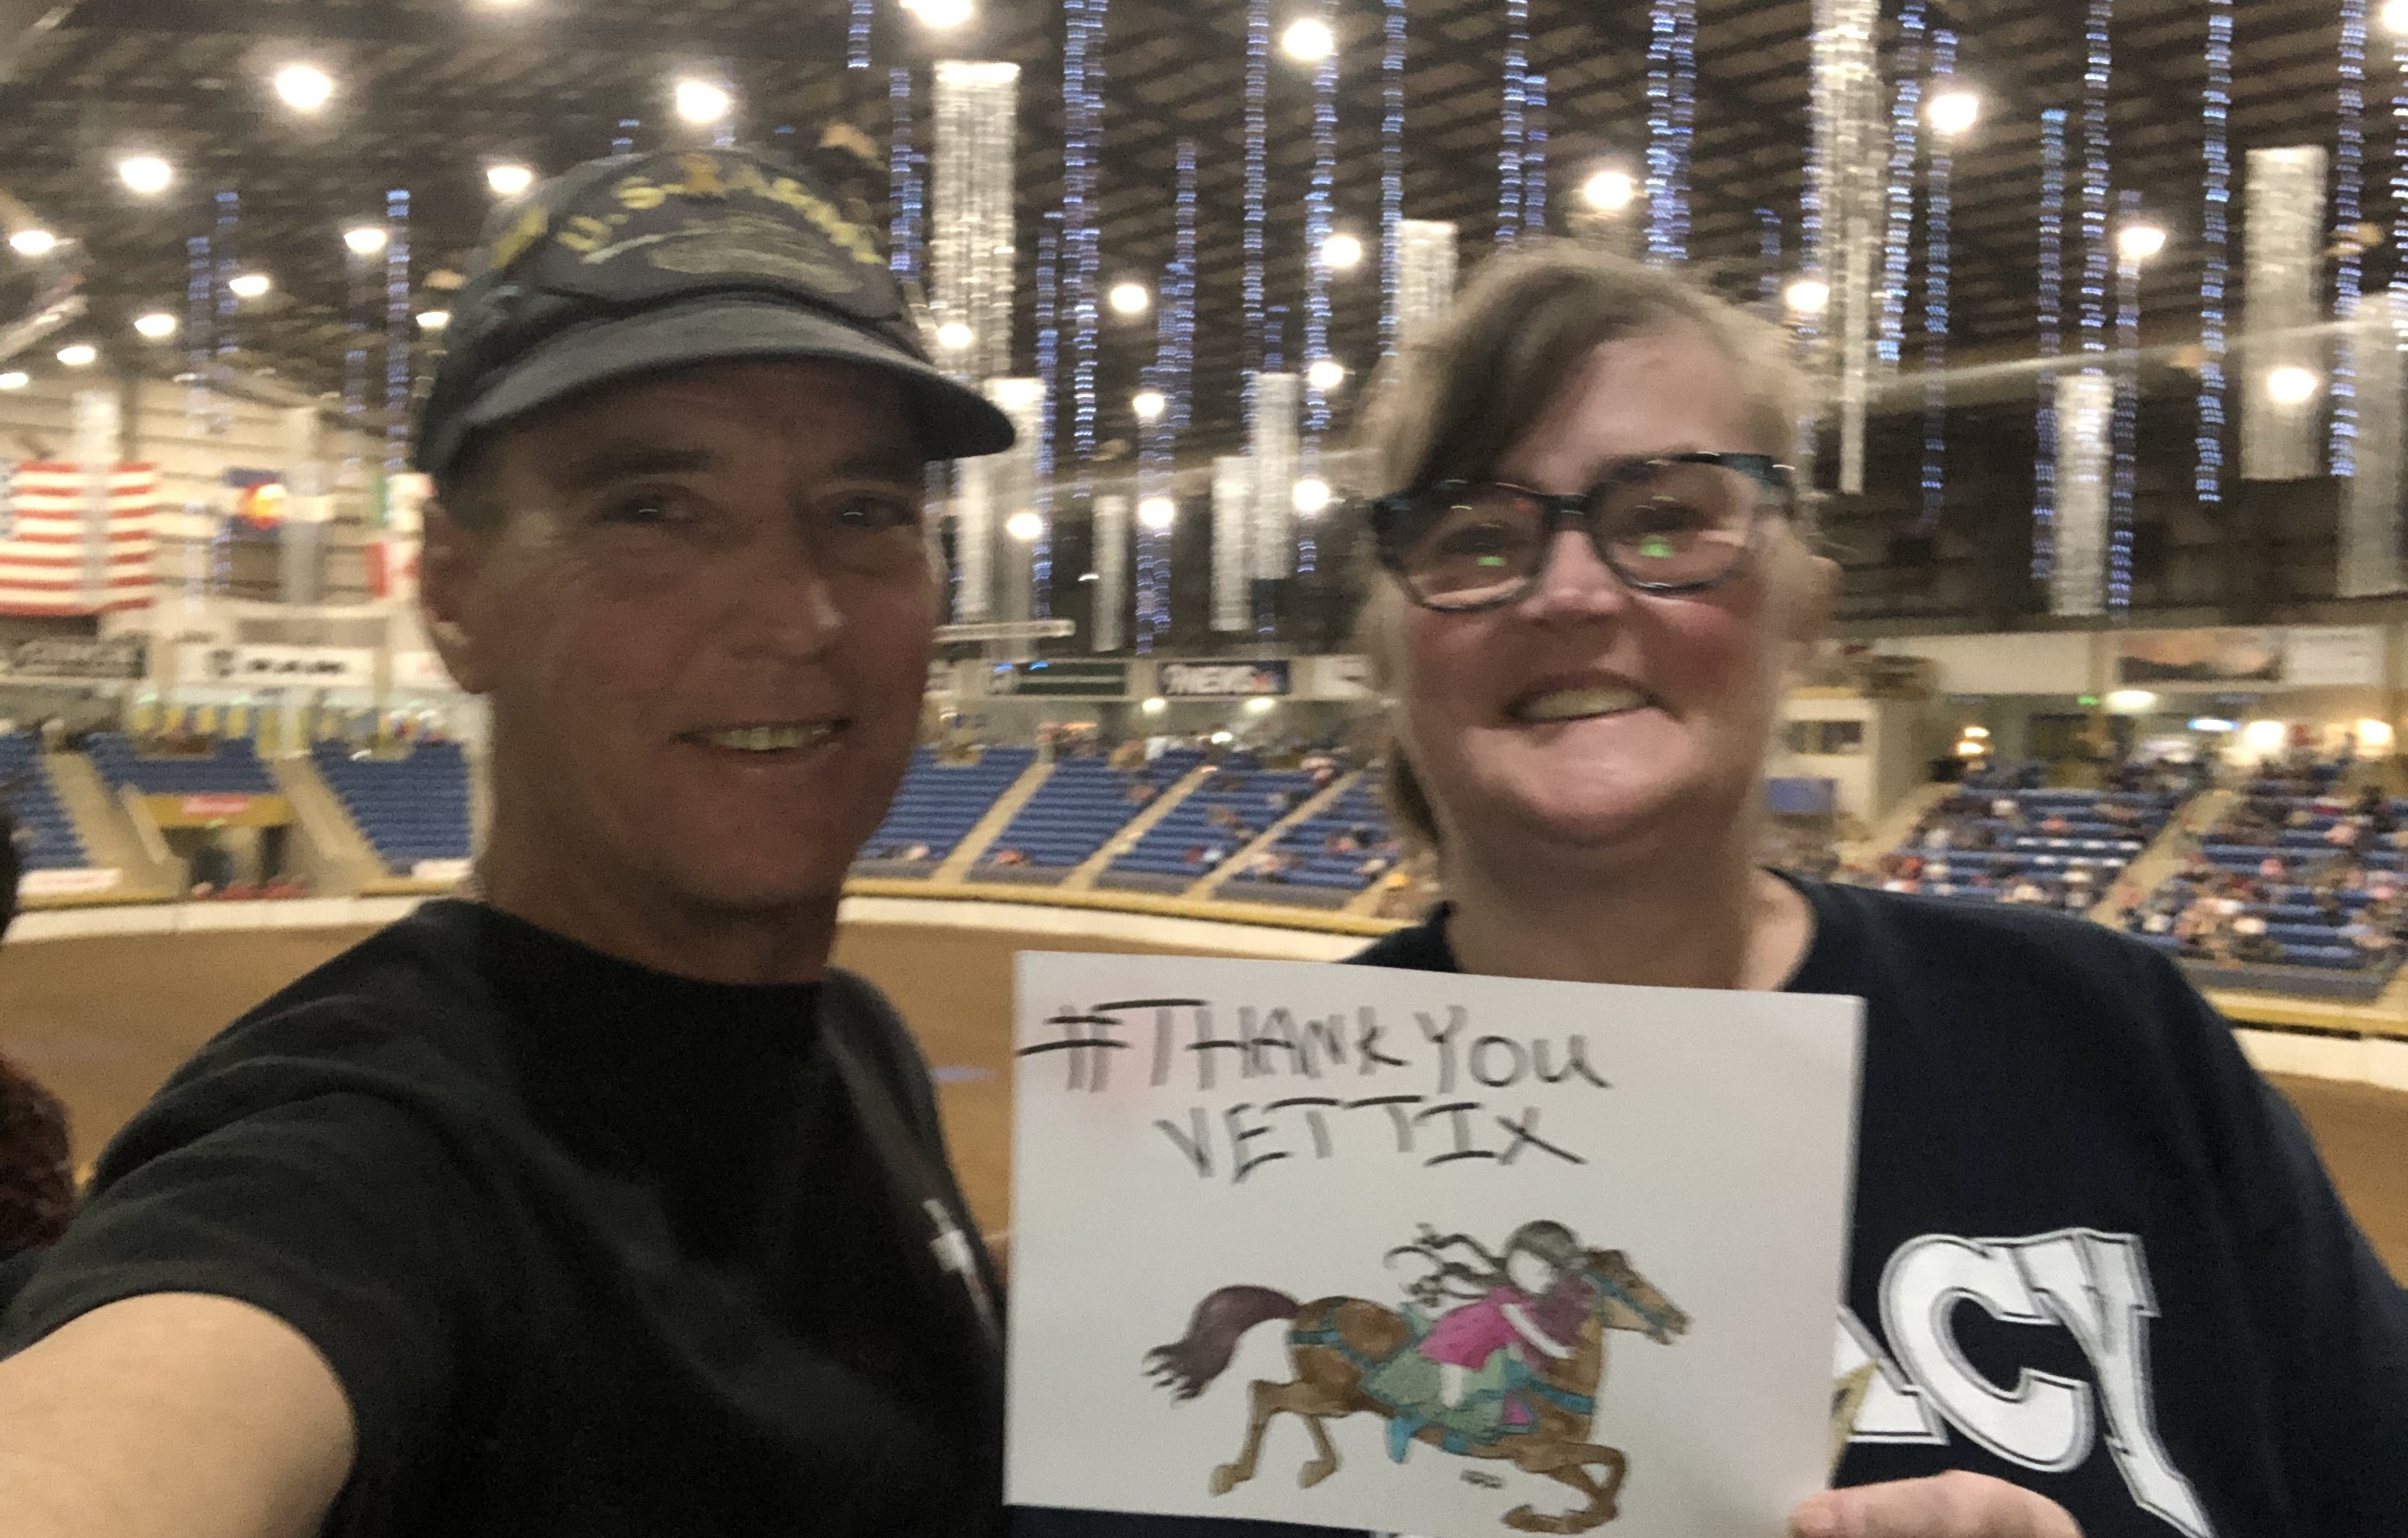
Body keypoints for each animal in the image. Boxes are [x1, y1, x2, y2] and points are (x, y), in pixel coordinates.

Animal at [1144, 1247, 1689, 1535]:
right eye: (1630, 1283)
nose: (1680, 1320)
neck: (1553, 1376)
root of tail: (1304, 1311)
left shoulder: (1552, 1461)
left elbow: (1609, 1483)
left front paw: (1555, 1515)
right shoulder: (1541, 1456)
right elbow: (1616, 1465)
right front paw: (1545, 1517)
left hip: (1334, 1396)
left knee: (1283, 1399)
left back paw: (1319, 1466)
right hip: (1335, 1396)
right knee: (1265, 1394)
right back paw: (1233, 1474)